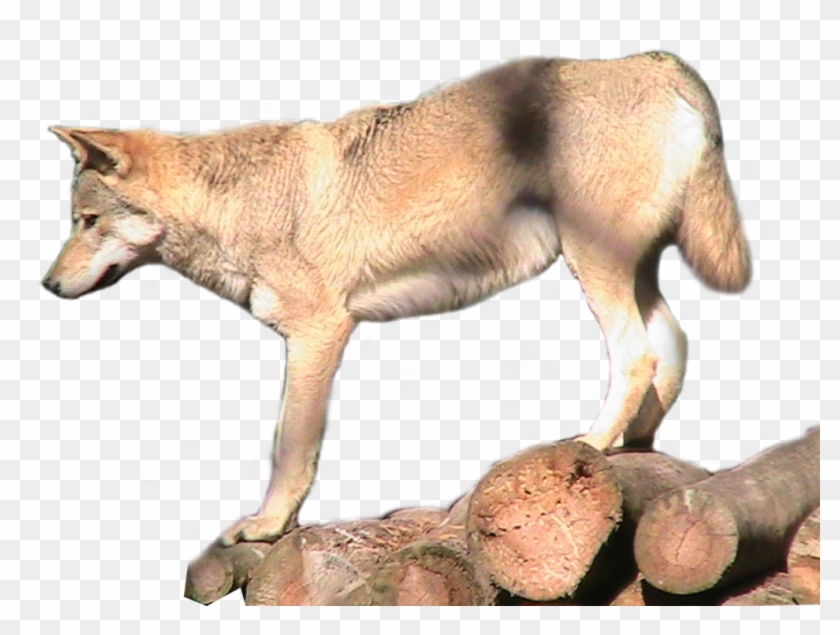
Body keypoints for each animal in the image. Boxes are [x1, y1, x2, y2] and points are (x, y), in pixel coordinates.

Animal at [43, 52, 750, 545]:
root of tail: (654, 60)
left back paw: (592, 444)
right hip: (629, 270)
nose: (46, 286)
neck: (241, 203)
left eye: (86, 221)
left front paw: (267, 527)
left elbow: (289, 448)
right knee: (672, 344)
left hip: (593, 264)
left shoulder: (318, 334)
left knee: (637, 355)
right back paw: (636, 443)